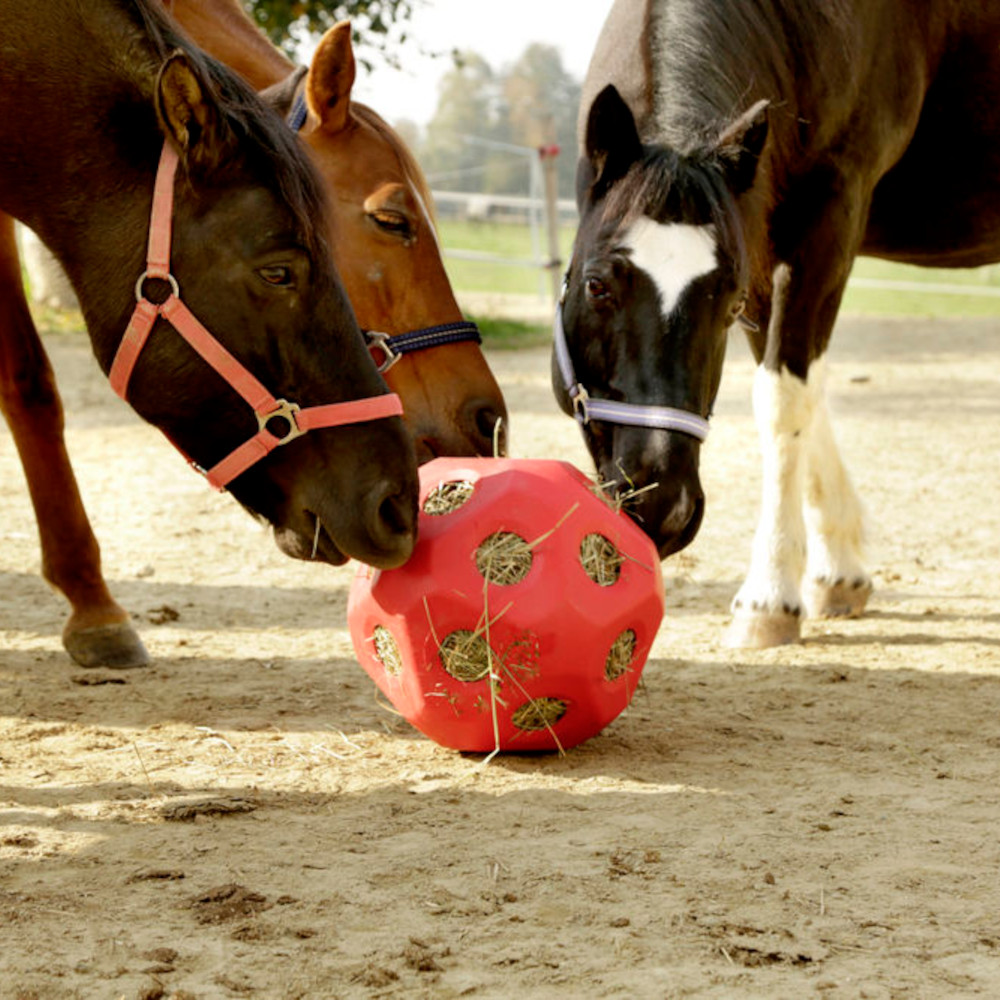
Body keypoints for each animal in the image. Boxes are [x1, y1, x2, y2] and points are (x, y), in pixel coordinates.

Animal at [556, 0, 1000, 648]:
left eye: (728, 300)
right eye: (597, 285)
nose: (665, 505)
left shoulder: (829, 217)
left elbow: (785, 400)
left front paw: (768, 599)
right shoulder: (761, 239)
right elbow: (802, 393)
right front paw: (837, 573)